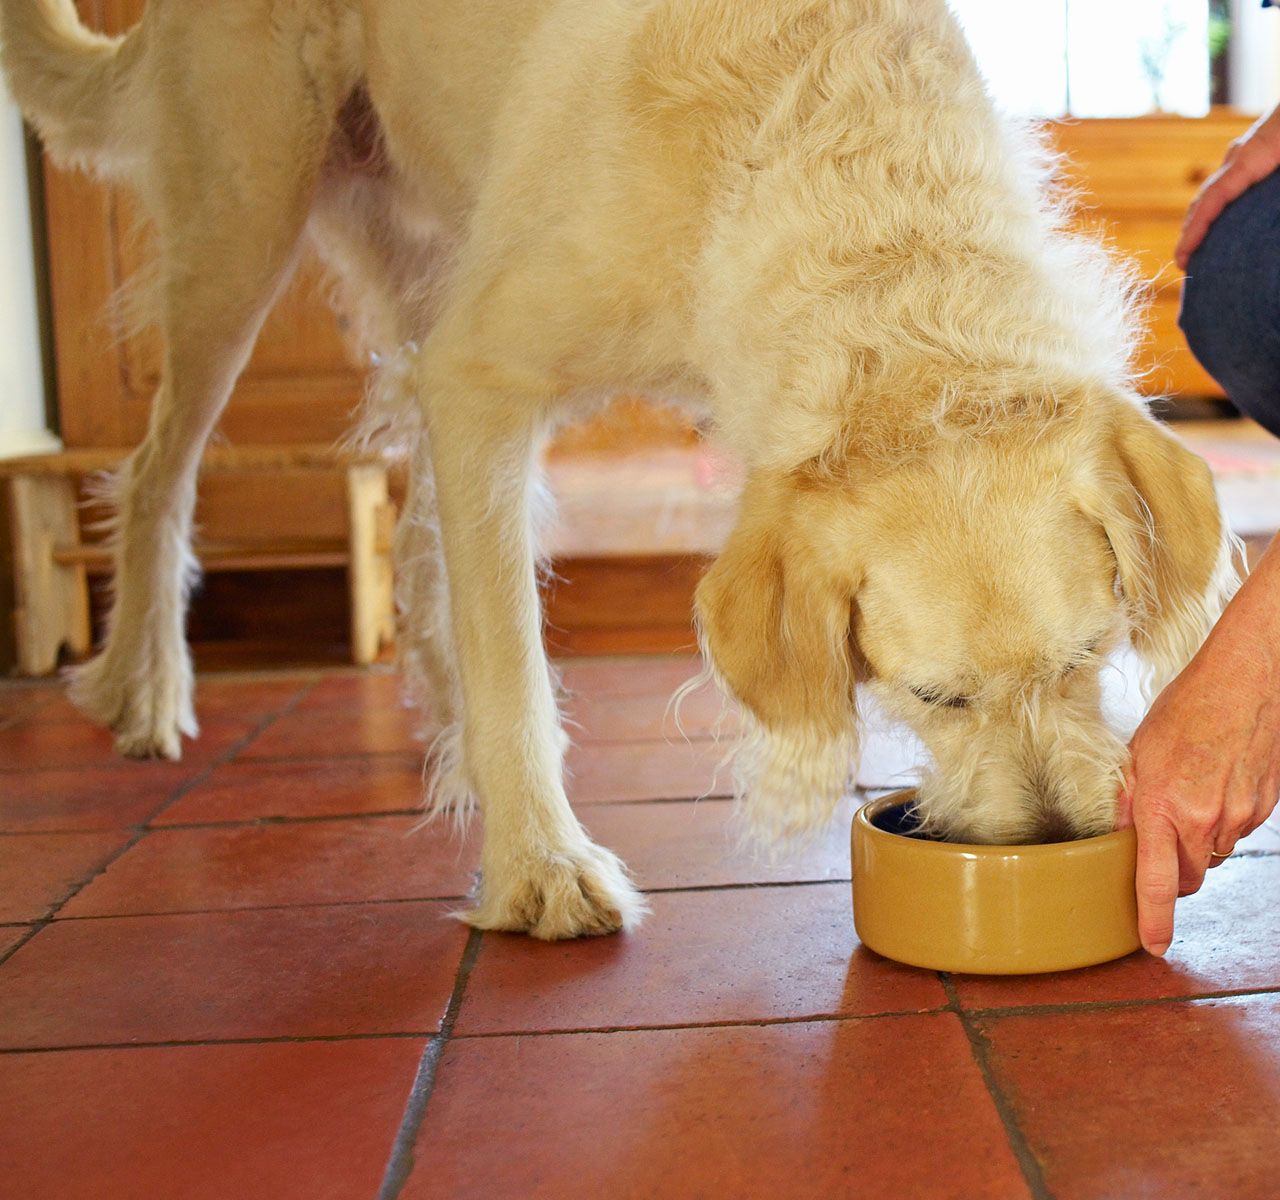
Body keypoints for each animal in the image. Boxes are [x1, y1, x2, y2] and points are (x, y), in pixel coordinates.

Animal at [2, 0, 1239, 936]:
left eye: (1089, 658)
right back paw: (145, 685)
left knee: (414, 533)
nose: (1055, 840)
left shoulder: (472, 374)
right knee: (159, 471)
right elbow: (513, 658)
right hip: (243, 231)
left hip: (414, 270)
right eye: (931, 696)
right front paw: (539, 868)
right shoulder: (483, 374)